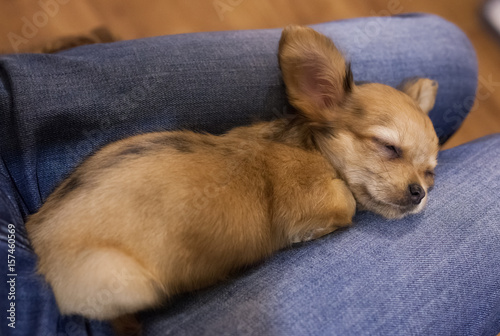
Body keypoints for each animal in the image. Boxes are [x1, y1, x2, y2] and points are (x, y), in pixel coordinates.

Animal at [25, 25, 438, 328]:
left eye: (430, 172)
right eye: (388, 147)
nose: (419, 192)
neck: (312, 151)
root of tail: (36, 237)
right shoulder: (318, 205)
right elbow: (347, 202)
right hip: (126, 279)